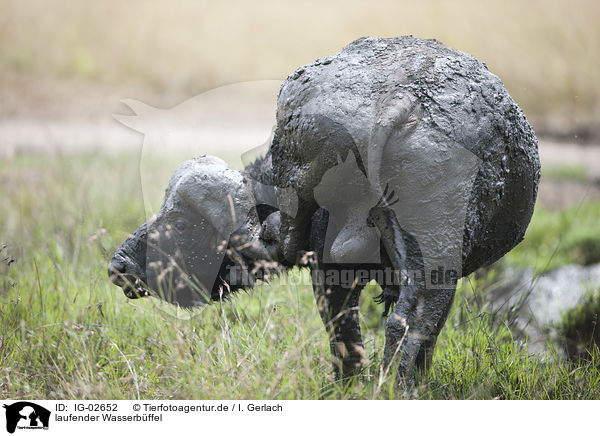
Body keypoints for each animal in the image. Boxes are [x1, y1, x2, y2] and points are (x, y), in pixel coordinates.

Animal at [108, 37, 540, 384]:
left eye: (181, 222)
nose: (118, 266)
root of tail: (402, 96)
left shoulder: (322, 265)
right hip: (433, 248)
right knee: (413, 318)